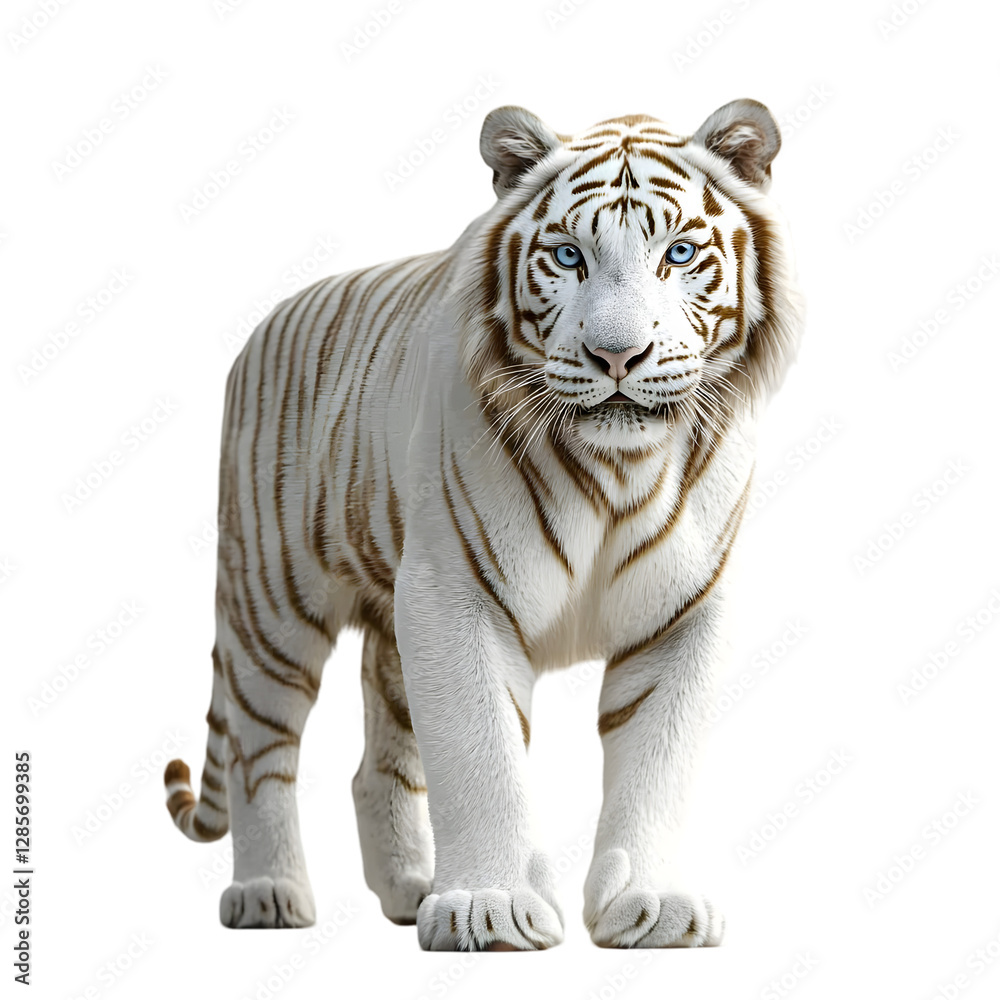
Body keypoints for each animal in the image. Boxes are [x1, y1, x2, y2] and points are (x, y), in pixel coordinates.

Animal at [163, 98, 803, 950]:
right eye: (568, 256)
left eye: (681, 252)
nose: (618, 357)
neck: (620, 469)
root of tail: (268, 321)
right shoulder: (455, 594)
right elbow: (479, 752)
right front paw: (488, 909)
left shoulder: (683, 610)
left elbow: (658, 759)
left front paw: (652, 907)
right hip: (272, 600)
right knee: (258, 749)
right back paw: (270, 894)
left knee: (372, 767)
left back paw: (408, 889)